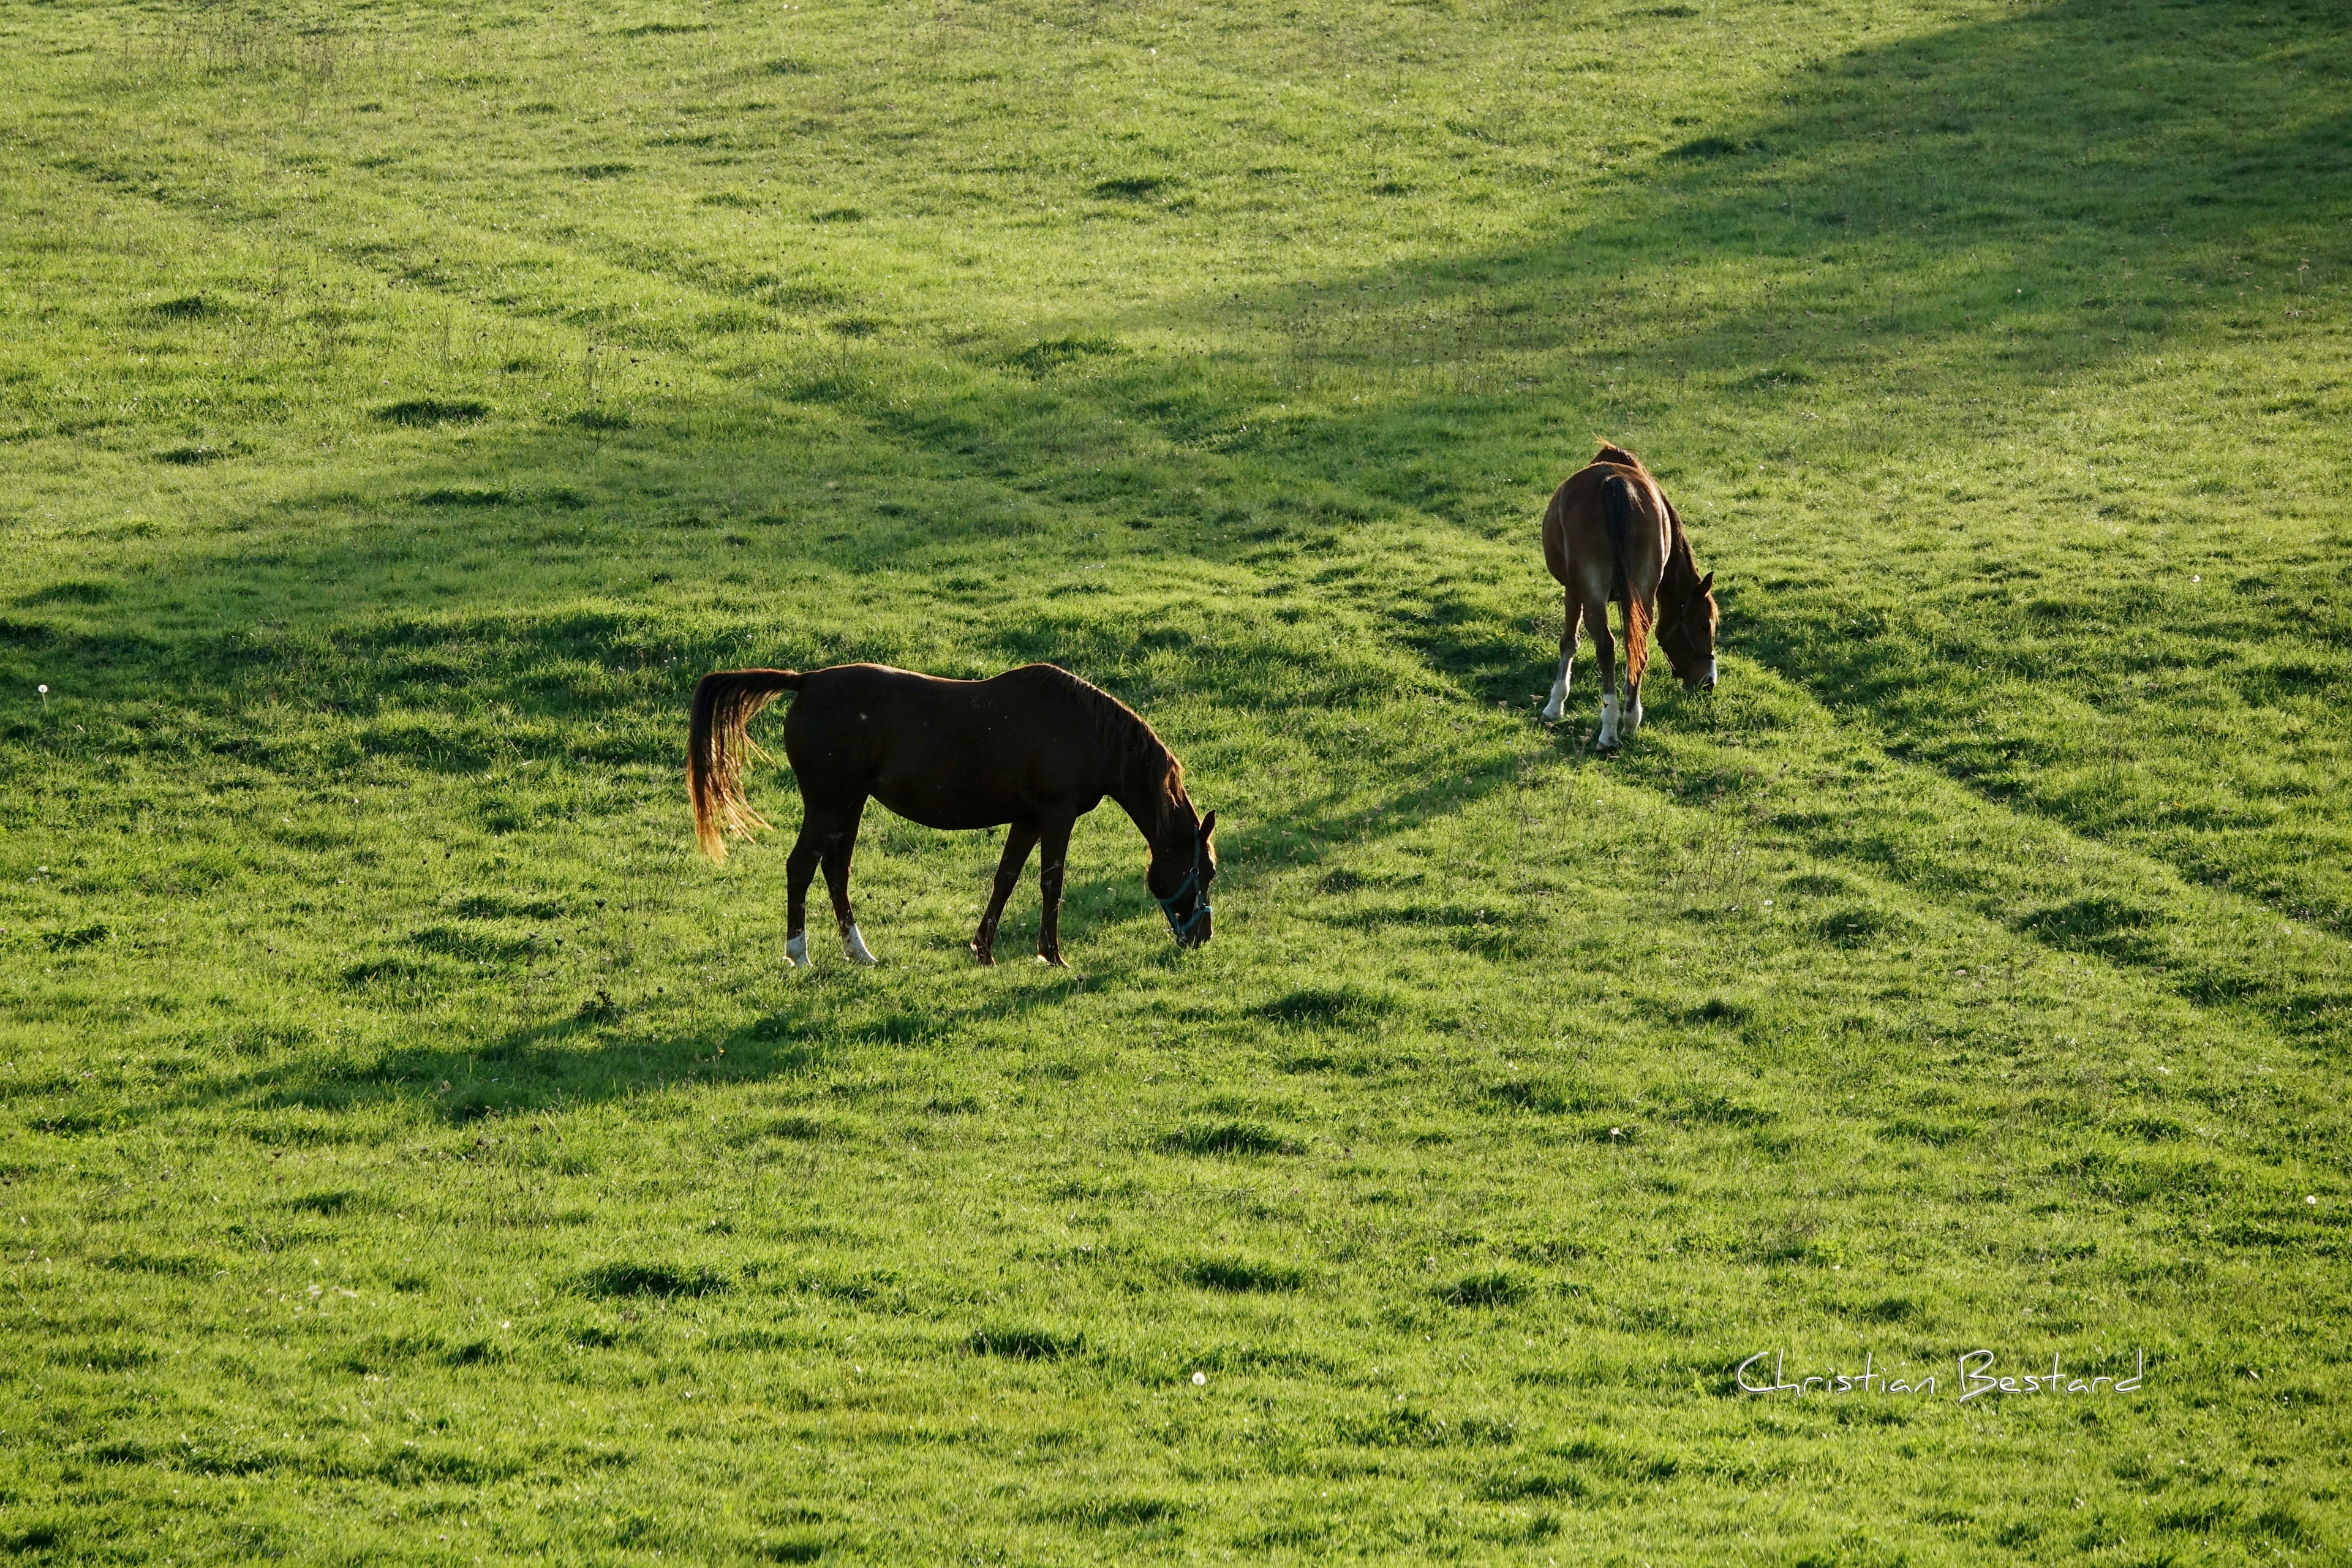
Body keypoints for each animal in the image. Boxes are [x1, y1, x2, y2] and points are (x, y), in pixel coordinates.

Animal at [688, 661, 1217, 969]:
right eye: (1204, 871)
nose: (1202, 937)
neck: (1085, 729)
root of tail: (806, 682)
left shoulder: (1027, 820)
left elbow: (1006, 879)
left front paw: (984, 950)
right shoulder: (1056, 816)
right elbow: (1051, 883)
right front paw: (1052, 955)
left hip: (849, 805)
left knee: (836, 871)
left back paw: (859, 952)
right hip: (828, 804)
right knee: (801, 866)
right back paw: (799, 954)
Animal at [1538, 443, 1719, 750]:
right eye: (1704, 625)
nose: (1709, 680)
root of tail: (1614, 482)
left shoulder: (1573, 590)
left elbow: (1569, 642)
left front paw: (1555, 705)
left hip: (1593, 593)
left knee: (1606, 647)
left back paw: (1609, 730)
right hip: (1643, 592)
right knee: (1638, 649)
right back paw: (1631, 720)